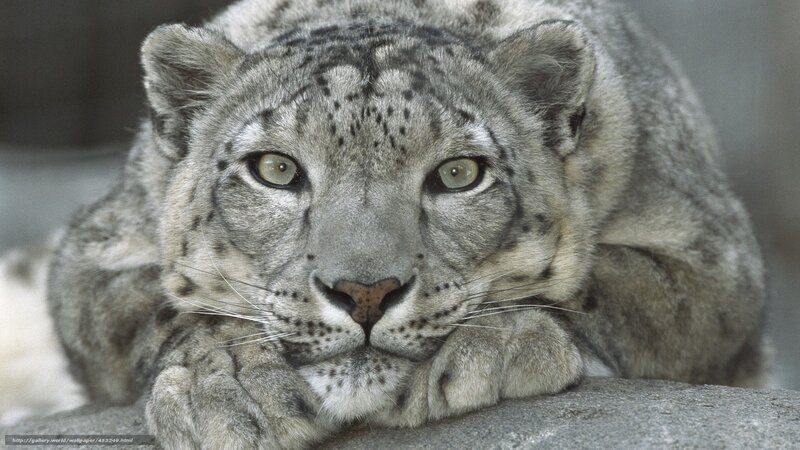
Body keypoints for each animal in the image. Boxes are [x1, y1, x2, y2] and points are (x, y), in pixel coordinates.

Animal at [45, 0, 767, 447]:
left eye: (459, 173)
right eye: (276, 169)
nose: (365, 292)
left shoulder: (708, 262)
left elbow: (602, 283)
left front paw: (492, 349)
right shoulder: (96, 251)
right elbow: (157, 303)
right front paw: (228, 387)